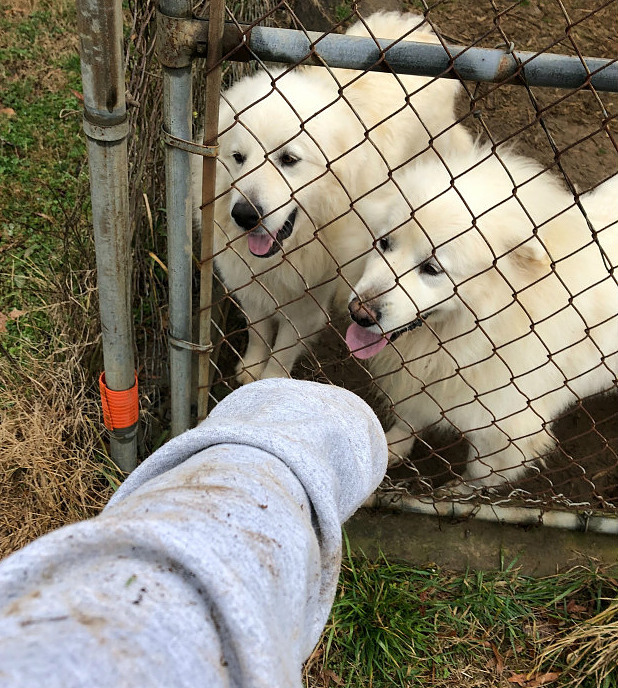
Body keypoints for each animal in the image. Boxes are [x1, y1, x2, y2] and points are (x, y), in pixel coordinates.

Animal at [209, 10, 470, 384]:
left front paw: (271, 378)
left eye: (289, 159)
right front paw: (250, 368)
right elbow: (258, 331)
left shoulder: (306, 306)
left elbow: (282, 350)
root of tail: (420, 30)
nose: (244, 216)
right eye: (238, 157)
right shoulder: (251, 286)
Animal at [346, 146, 616, 494]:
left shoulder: (506, 433)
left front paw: (456, 494)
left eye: (432, 268)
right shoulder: (422, 386)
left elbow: (480, 473)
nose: (359, 314)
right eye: (384, 243)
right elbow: (408, 420)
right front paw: (391, 447)